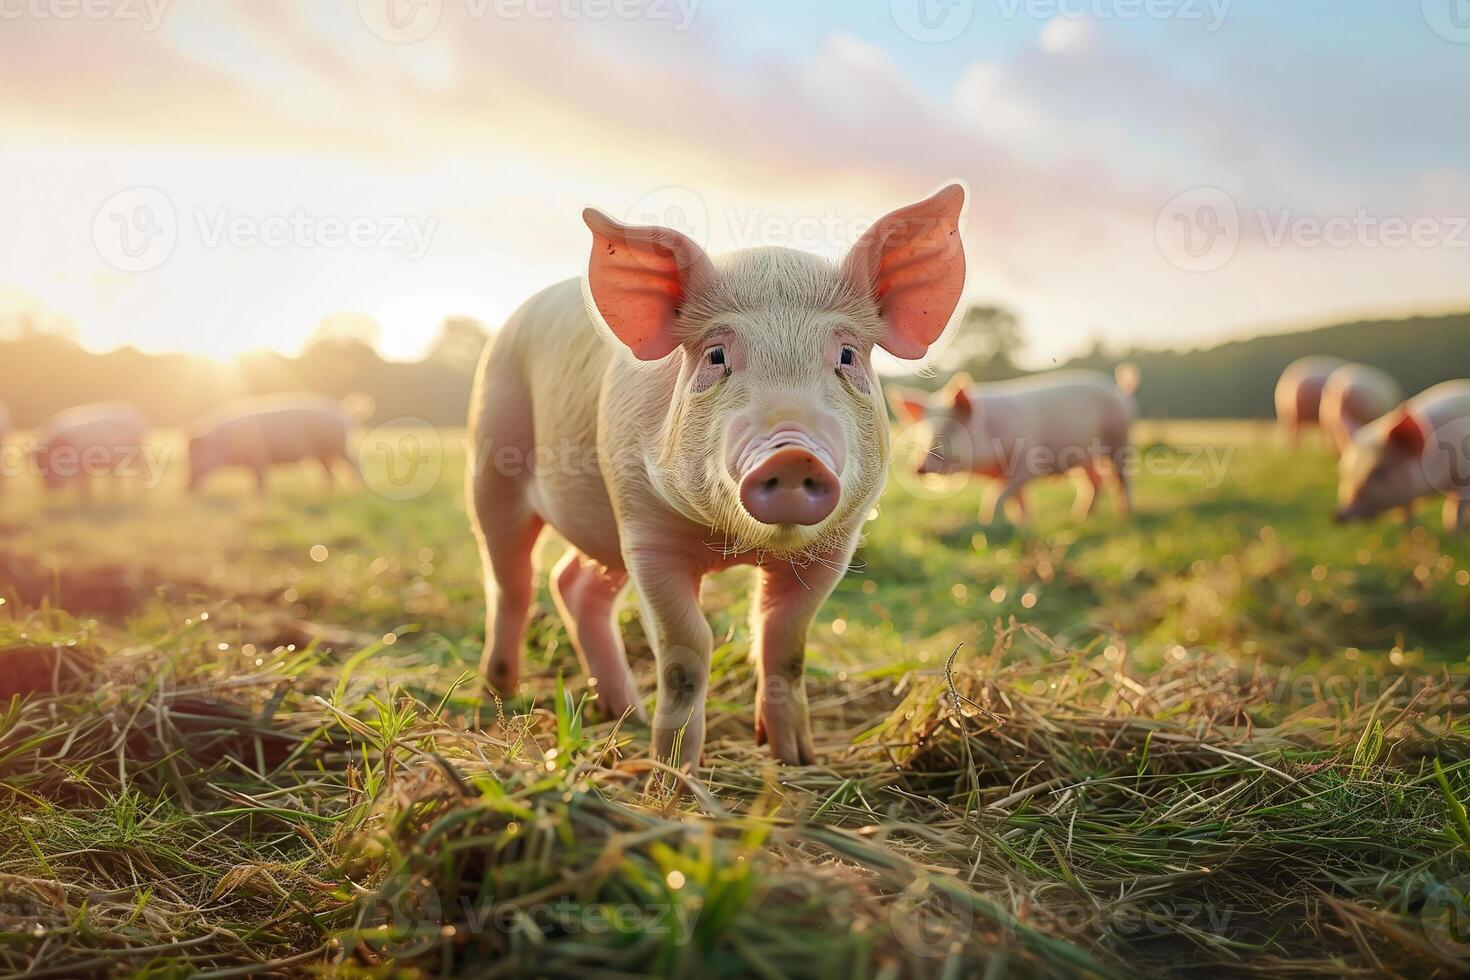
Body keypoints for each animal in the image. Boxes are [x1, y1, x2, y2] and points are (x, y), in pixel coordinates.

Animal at [188, 393, 363, 493]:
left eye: (193, 458)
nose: (186, 488)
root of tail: (343, 410)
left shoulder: (258, 458)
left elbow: (260, 481)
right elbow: (256, 481)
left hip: (340, 446)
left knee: (353, 463)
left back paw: (359, 490)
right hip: (322, 453)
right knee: (328, 471)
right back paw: (322, 493)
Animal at [470, 183, 970, 764]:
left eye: (847, 355)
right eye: (715, 355)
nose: (791, 455)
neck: (734, 543)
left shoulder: (834, 546)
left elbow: (786, 641)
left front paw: (794, 758)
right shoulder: (646, 530)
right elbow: (687, 651)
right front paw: (673, 772)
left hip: (600, 525)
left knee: (573, 584)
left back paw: (625, 712)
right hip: (492, 459)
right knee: (511, 579)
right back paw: (502, 692)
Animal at [882, 365, 1134, 520]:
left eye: (950, 428)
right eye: (921, 433)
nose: (918, 467)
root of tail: (1120, 392)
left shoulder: (1027, 462)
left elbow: (998, 494)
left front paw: (986, 522)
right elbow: (1017, 501)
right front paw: (1024, 525)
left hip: (1119, 440)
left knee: (1120, 480)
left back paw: (1124, 516)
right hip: (1084, 456)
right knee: (1095, 481)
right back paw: (1080, 517)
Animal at [1334, 382, 1470, 531]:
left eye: (1379, 472)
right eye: (1344, 473)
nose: (1339, 515)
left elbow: (1455, 508)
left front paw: (1453, 533)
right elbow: (1406, 511)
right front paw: (1410, 530)